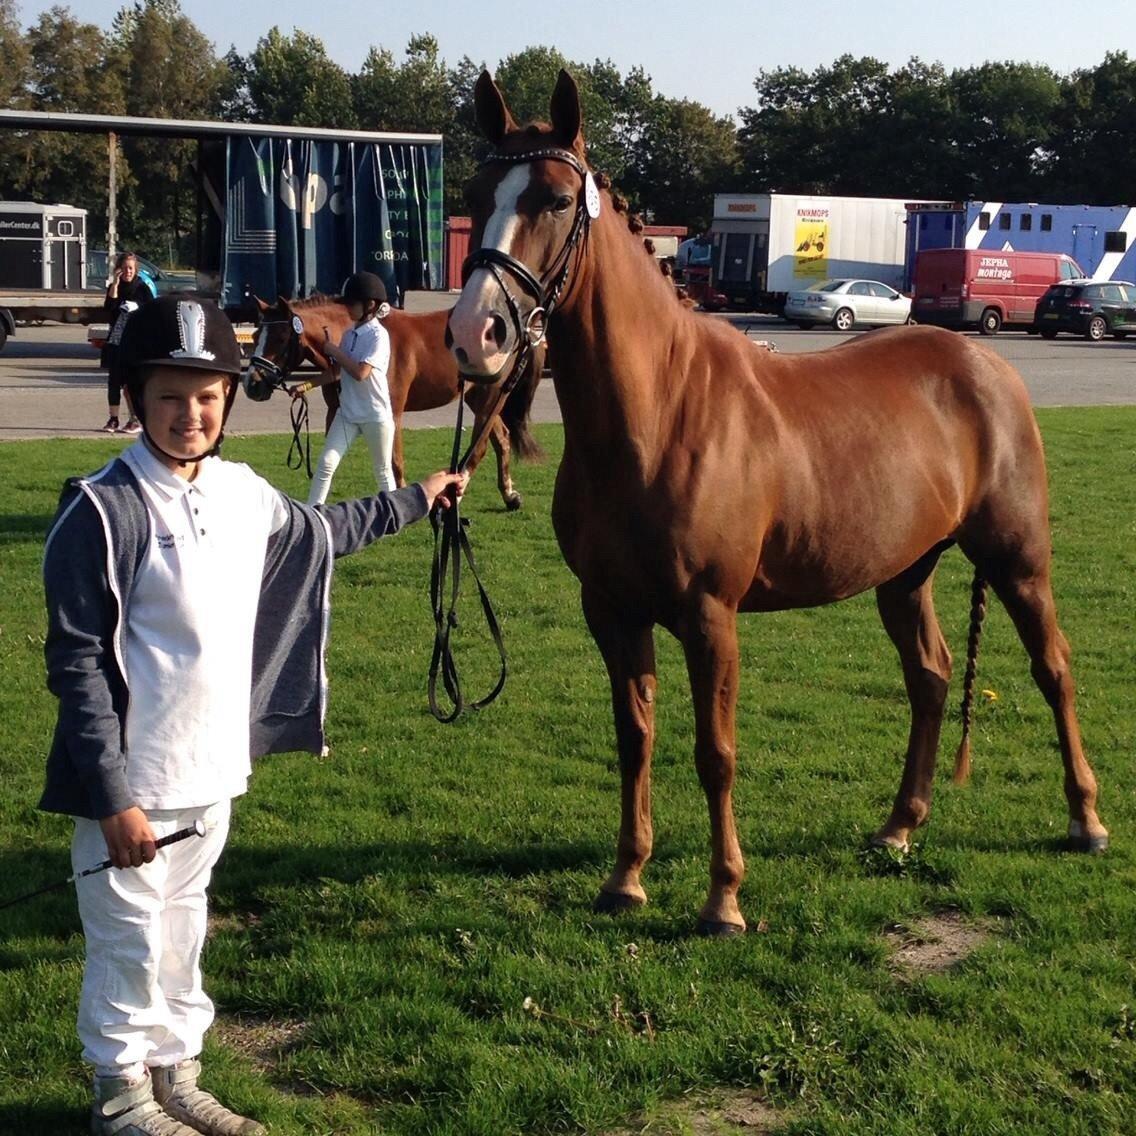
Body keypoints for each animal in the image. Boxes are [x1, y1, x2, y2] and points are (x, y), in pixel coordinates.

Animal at [254, 295, 545, 508]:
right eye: (256, 336)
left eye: (280, 338)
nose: (252, 383)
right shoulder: (336, 412)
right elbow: (329, 460)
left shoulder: (392, 413)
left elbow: (394, 460)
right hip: (480, 399)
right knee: (502, 439)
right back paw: (509, 495)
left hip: (488, 397)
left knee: (481, 447)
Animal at [445, 73, 1108, 940]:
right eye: (474, 195)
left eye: (555, 199)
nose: (474, 333)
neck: (659, 413)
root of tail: (986, 364)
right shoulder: (611, 611)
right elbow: (636, 738)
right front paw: (627, 877)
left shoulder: (709, 615)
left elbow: (715, 752)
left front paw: (723, 898)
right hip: (905, 574)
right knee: (930, 678)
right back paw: (900, 826)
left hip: (1018, 561)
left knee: (1052, 669)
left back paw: (1086, 820)